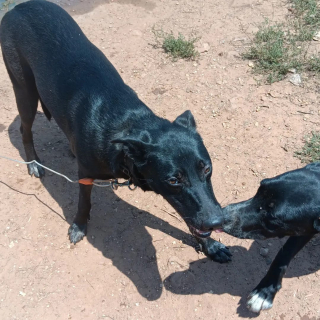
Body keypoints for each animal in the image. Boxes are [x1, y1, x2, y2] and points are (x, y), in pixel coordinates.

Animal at [0, 0, 230, 262]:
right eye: (173, 180)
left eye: (207, 169)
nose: (218, 222)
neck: (128, 123)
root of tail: (18, 7)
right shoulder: (85, 173)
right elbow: (83, 202)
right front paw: (79, 226)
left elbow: (192, 218)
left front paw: (210, 245)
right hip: (24, 89)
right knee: (24, 129)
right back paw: (34, 164)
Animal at [221, 164, 320, 314]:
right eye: (260, 188)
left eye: (272, 219)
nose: (222, 217)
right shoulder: (305, 230)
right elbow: (282, 256)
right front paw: (265, 291)